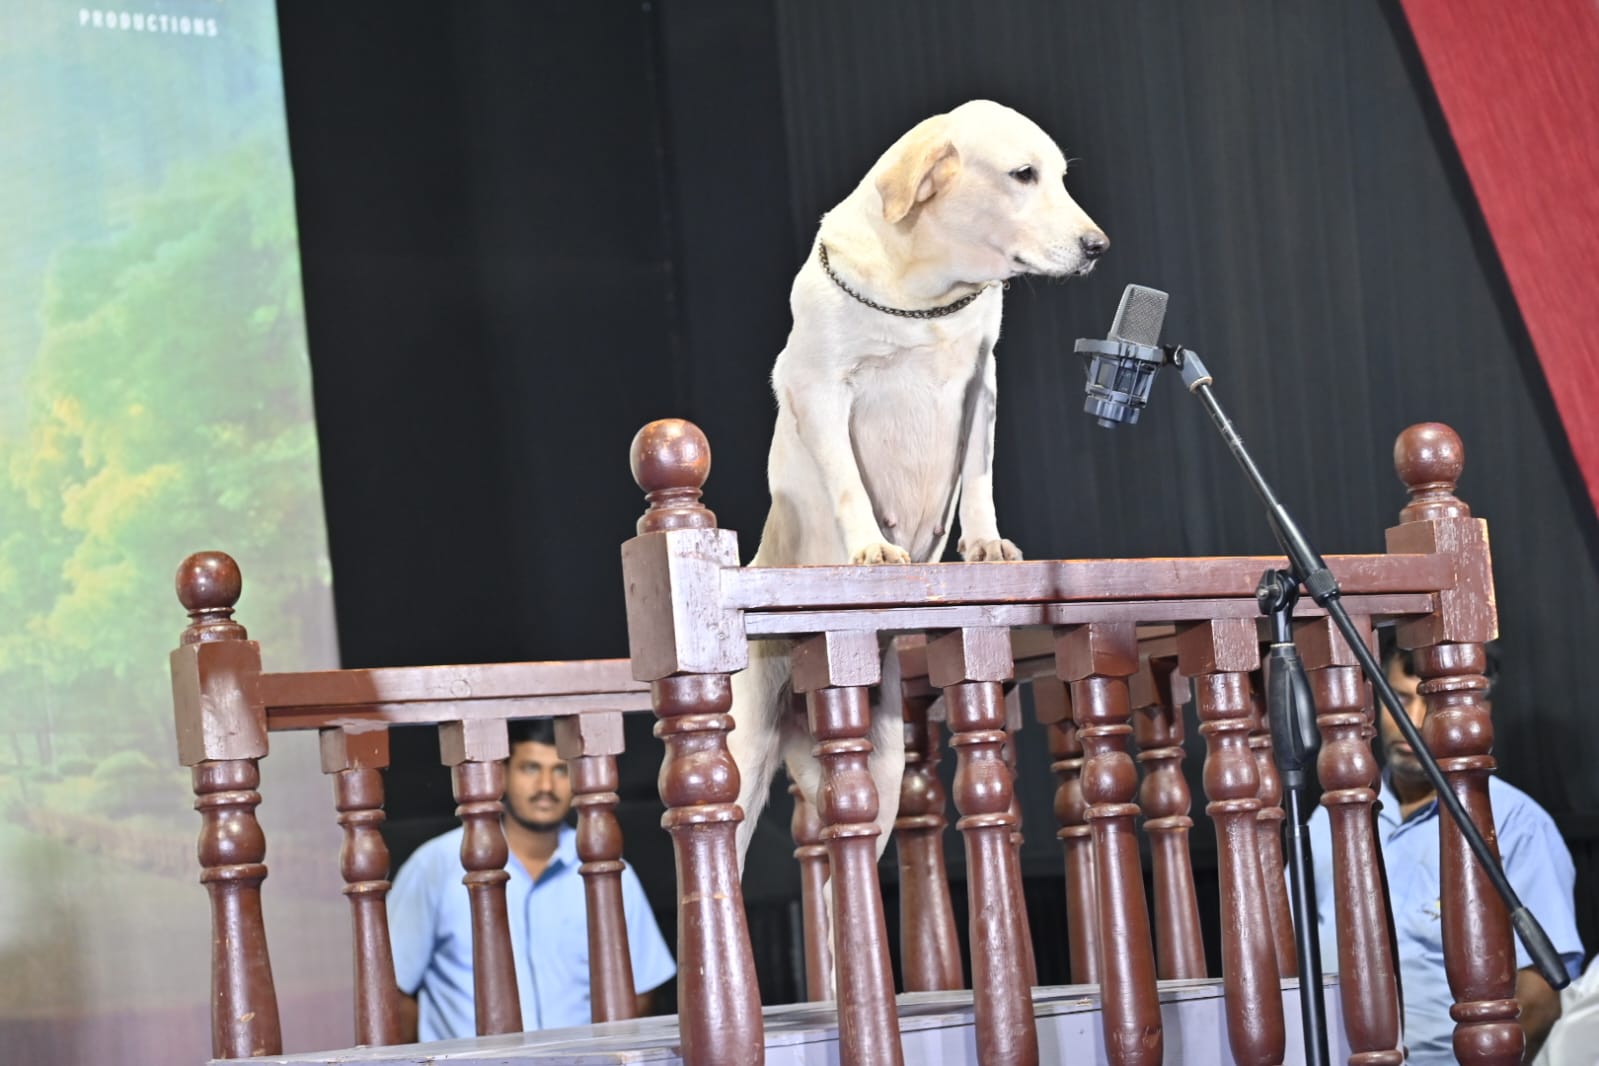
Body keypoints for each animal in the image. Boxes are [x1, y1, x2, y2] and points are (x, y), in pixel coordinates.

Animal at [732, 99, 1106, 869]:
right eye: (1023, 175)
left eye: (1058, 175)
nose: (1097, 246)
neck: (928, 295)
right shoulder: (818, 386)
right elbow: (847, 479)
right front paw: (871, 549)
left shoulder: (980, 384)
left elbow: (979, 478)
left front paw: (985, 545)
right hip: (742, 761)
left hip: (874, 772)